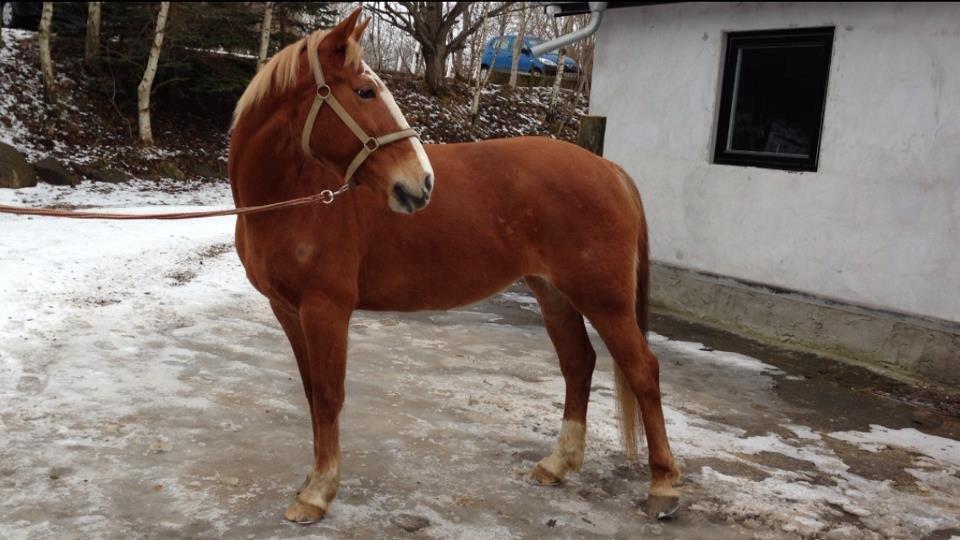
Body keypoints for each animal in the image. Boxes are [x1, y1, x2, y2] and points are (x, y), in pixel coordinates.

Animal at [228, 7, 680, 524]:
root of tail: (610, 170)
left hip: (604, 300)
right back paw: (557, 464)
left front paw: (318, 492)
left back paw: (663, 486)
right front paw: (311, 482)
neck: (296, 199)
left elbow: (327, 396)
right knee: (578, 363)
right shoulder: (288, 310)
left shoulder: (326, 310)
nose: (420, 184)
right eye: (364, 91)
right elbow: (310, 392)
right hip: (554, 294)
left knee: (643, 371)